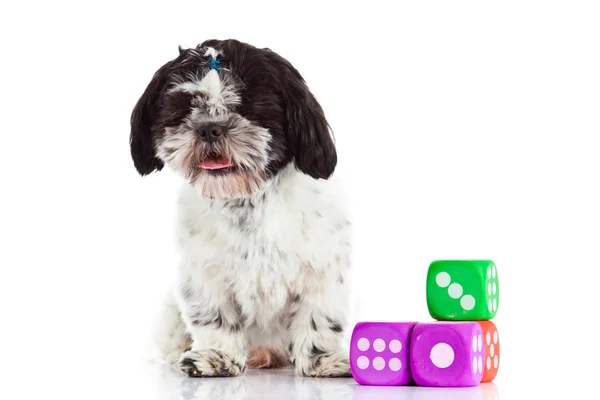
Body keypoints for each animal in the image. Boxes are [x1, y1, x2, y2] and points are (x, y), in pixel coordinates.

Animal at [129, 38, 350, 378]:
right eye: (185, 107)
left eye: (247, 107)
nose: (210, 128)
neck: (247, 200)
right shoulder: (204, 275)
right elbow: (215, 319)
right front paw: (216, 357)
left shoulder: (321, 271)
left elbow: (318, 319)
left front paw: (322, 361)